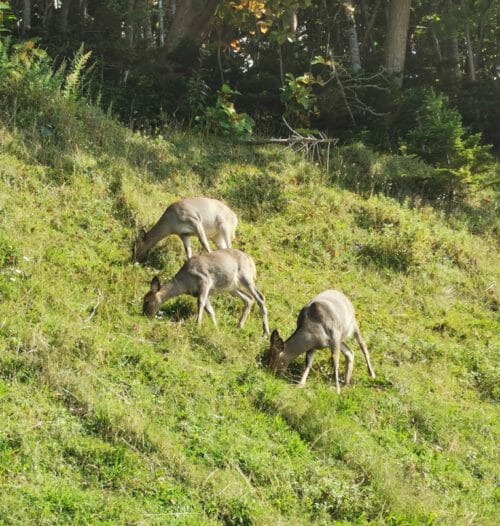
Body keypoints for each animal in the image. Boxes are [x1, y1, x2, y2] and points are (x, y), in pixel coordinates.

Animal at [141, 249, 270, 338]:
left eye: (147, 301)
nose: (145, 314)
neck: (184, 282)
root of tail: (252, 262)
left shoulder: (205, 281)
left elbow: (201, 303)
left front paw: (197, 325)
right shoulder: (202, 292)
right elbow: (210, 310)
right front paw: (216, 328)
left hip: (246, 278)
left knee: (260, 298)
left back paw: (265, 332)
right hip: (232, 288)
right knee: (249, 299)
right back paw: (240, 325)